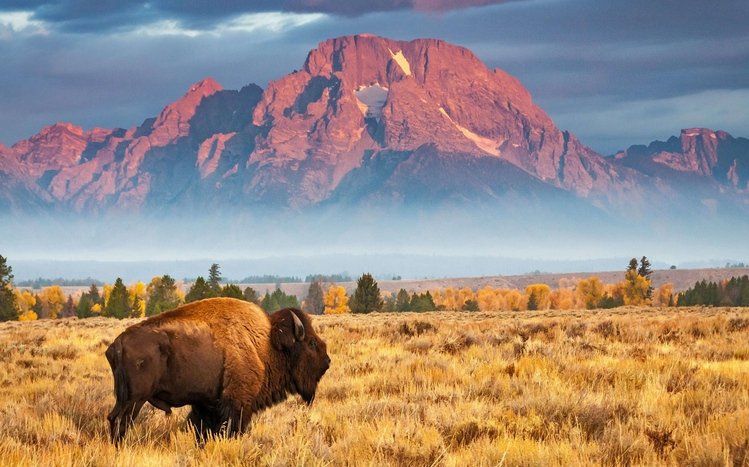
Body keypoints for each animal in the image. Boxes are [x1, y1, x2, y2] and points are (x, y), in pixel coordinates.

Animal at [105, 298, 330, 444]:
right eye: (311, 343)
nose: (327, 361)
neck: (266, 344)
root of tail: (118, 343)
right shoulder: (238, 403)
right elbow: (232, 429)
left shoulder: (207, 404)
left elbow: (202, 429)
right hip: (135, 399)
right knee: (121, 421)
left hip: (124, 398)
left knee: (113, 418)